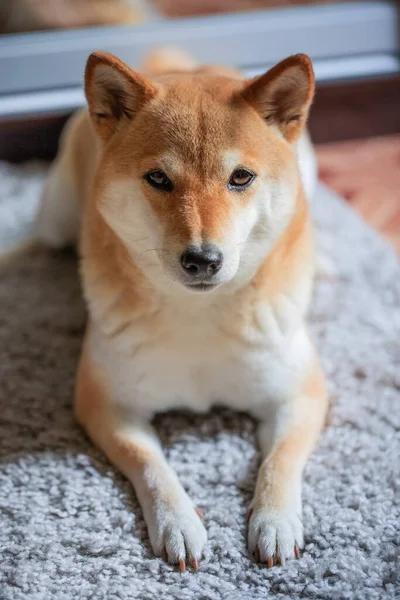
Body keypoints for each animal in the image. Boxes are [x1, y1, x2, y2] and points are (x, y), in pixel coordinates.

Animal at [33, 48, 328, 572]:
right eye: (158, 178)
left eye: (241, 177)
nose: (202, 259)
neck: (198, 312)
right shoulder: (108, 404)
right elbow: (152, 467)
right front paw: (179, 524)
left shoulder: (300, 394)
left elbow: (281, 460)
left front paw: (274, 522)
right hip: (55, 221)